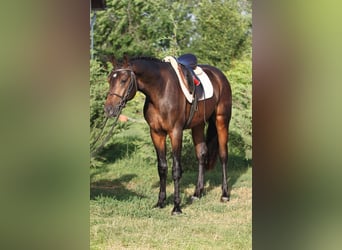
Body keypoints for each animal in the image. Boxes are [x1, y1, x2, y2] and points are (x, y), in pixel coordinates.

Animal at [104, 55, 232, 214]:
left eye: (123, 80)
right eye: (109, 80)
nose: (109, 109)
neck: (160, 90)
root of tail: (220, 75)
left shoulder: (175, 132)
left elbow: (176, 169)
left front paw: (176, 207)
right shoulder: (156, 133)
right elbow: (162, 167)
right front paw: (160, 202)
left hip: (222, 120)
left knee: (223, 155)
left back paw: (225, 194)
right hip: (198, 125)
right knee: (201, 154)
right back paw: (197, 193)